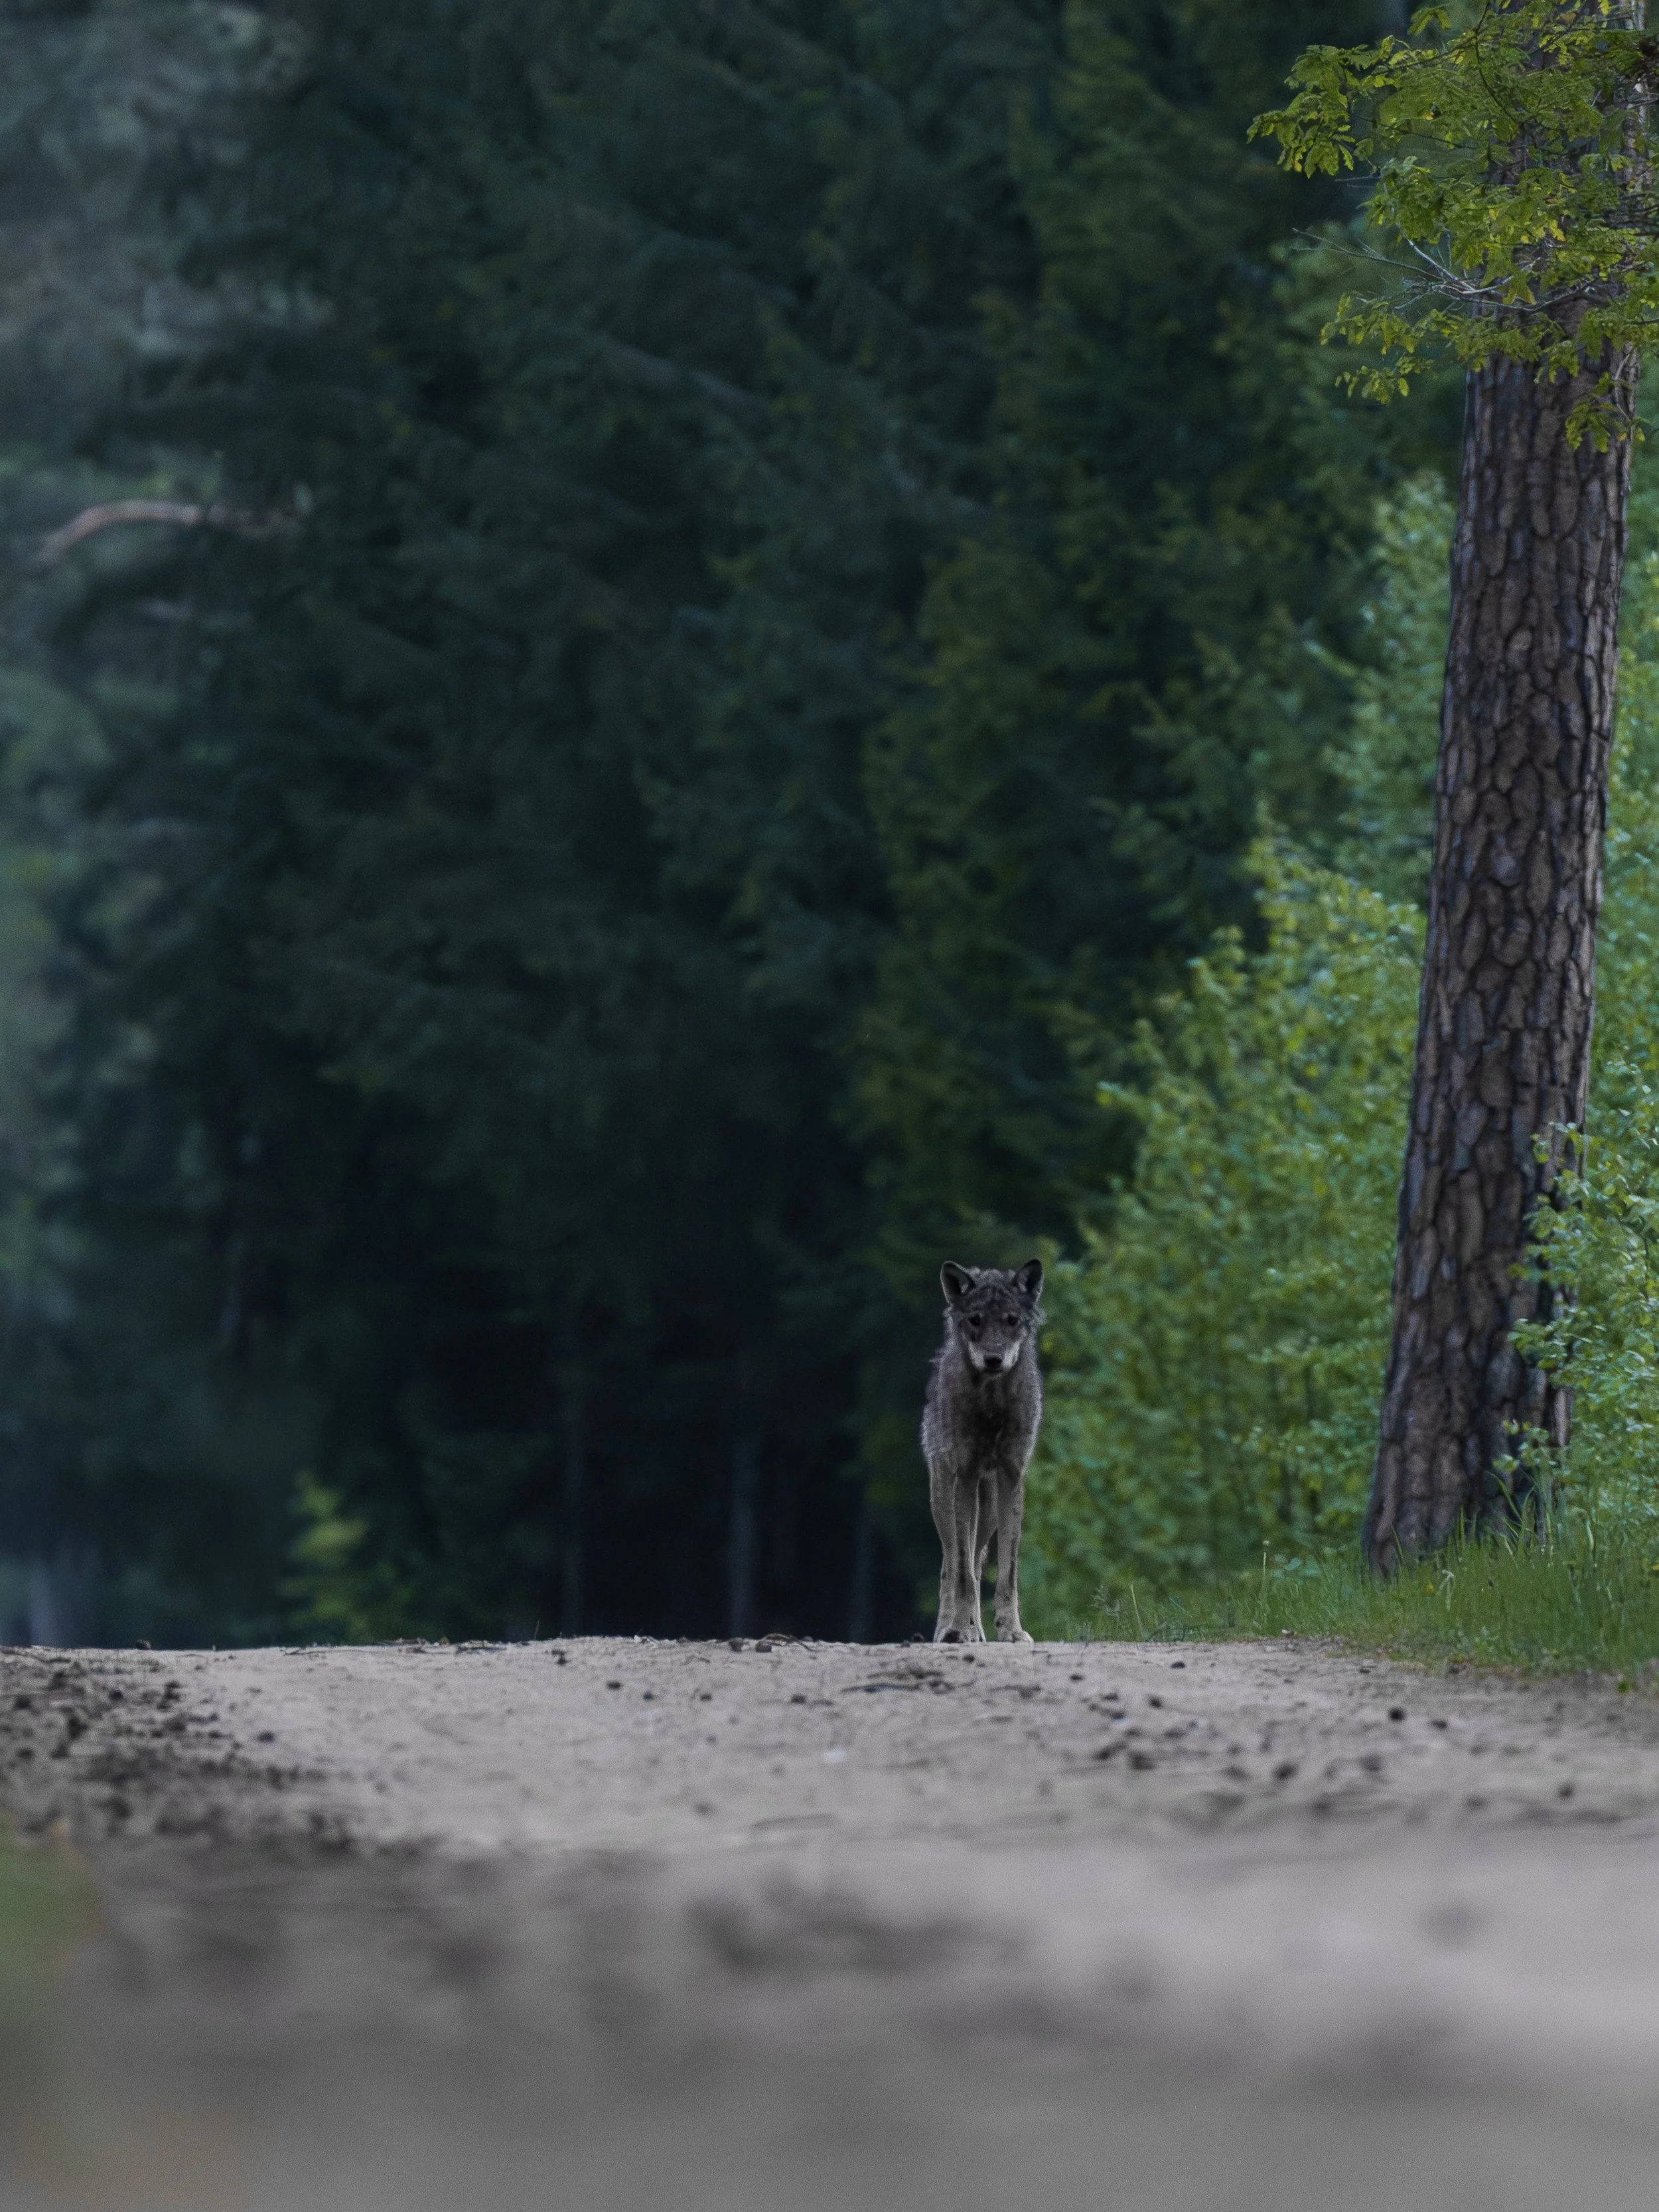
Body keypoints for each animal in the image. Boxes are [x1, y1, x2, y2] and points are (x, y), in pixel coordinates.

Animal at [921, 1260, 1044, 1644]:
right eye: (975, 1320)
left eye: (1011, 1320)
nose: (993, 1359)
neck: (992, 1407)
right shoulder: (965, 1477)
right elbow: (961, 1572)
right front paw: (959, 1629)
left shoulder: (1012, 1478)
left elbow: (1007, 1573)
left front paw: (1012, 1631)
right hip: (944, 1497)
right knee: (951, 1564)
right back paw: (950, 1629)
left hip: (987, 1512)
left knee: (975, 1563)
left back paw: (977, 1631)